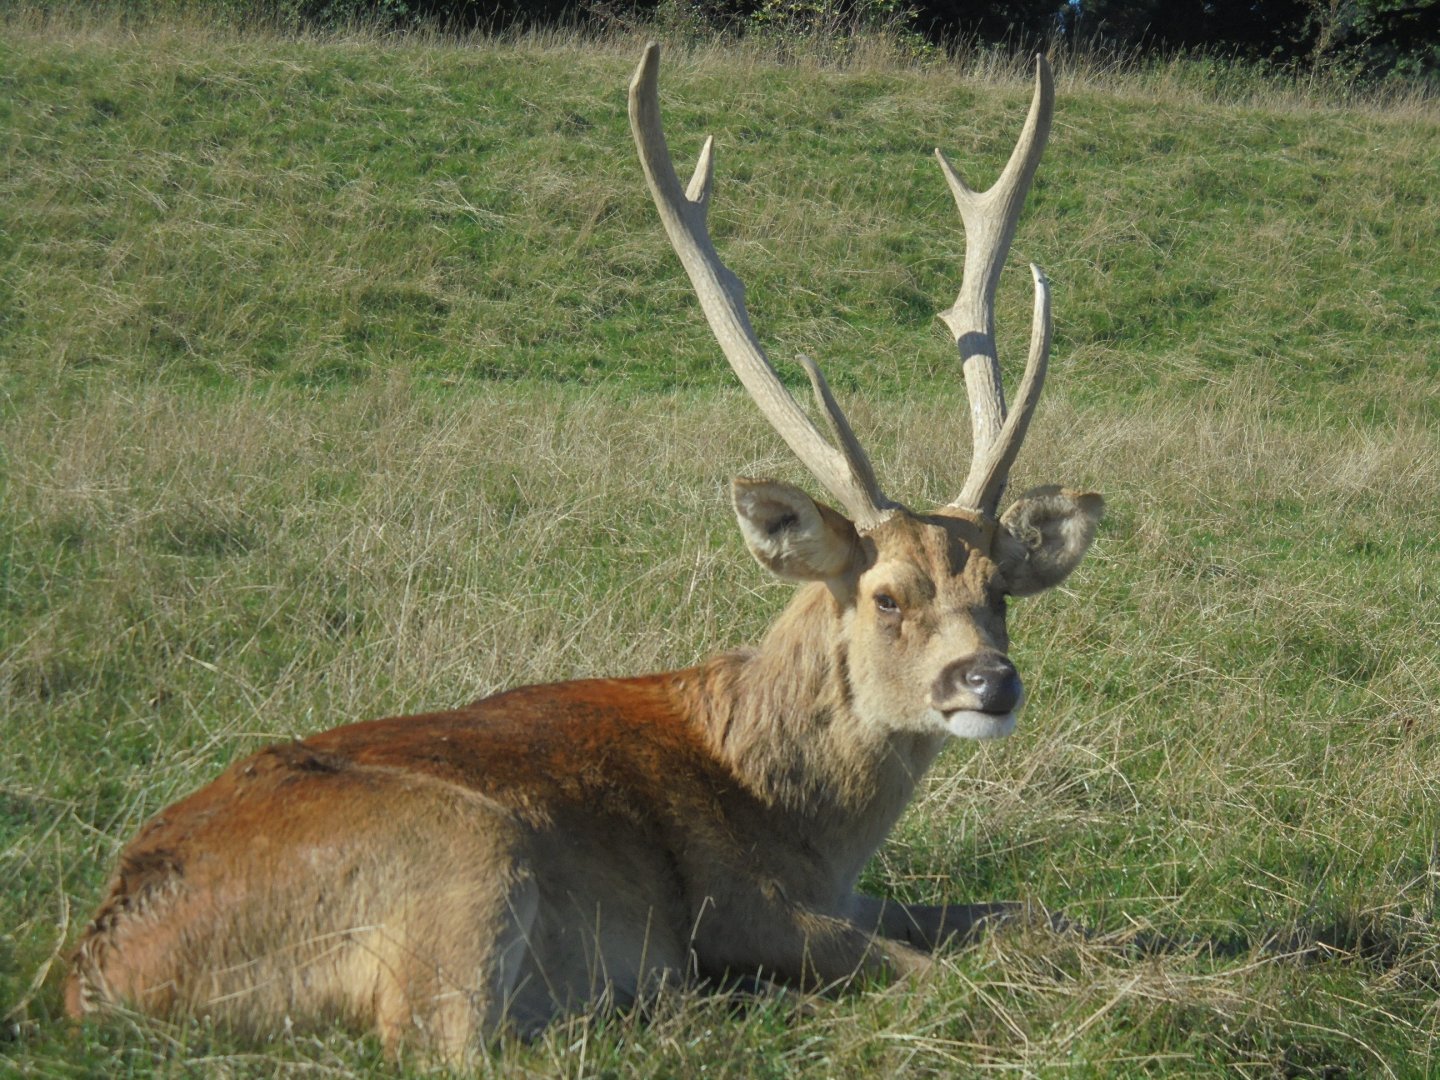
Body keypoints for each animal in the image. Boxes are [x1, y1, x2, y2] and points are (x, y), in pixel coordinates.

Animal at [64, 44, 1102, 1064]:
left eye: (1000, 590)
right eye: (888, 595)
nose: (990, 680)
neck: (799, 822)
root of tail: (96, 973)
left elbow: (1029, 914)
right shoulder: (741, 907)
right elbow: (943, 966)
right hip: (461, 851)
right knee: (452, 1037)